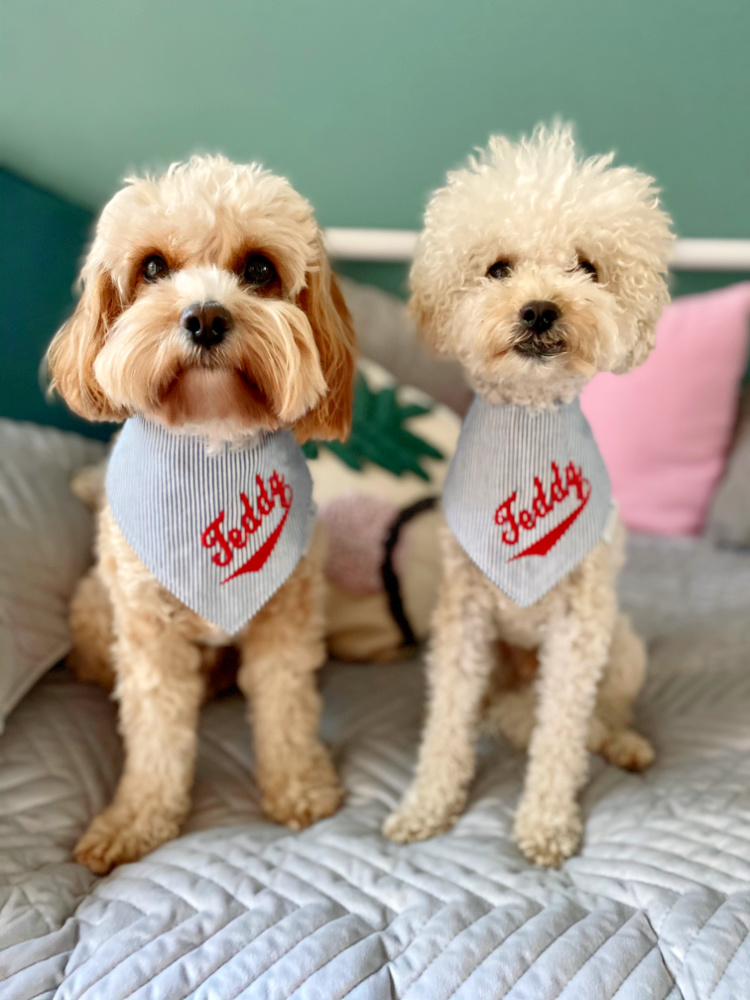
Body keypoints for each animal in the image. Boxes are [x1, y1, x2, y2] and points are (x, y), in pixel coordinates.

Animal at [47, 156, 358, 876]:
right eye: (152, 267)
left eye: (260, 268)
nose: (206, 318)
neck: (212, 446)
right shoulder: (150, 642)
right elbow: (157, 737)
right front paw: (137, 820)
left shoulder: (285, 621)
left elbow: (286, 710)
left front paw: (299, 786)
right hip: (96, 611)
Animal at [388, 125, 676, 864]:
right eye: (497, 268)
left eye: (587, 267)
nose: (542, 308)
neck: (527, 423)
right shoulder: (462, 621)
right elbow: (447, 724)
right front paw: (427, 805)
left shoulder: (580, 629)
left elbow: (562, 735)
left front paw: (546, 823)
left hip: (621, 645)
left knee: (601, 717)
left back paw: (625, 743)